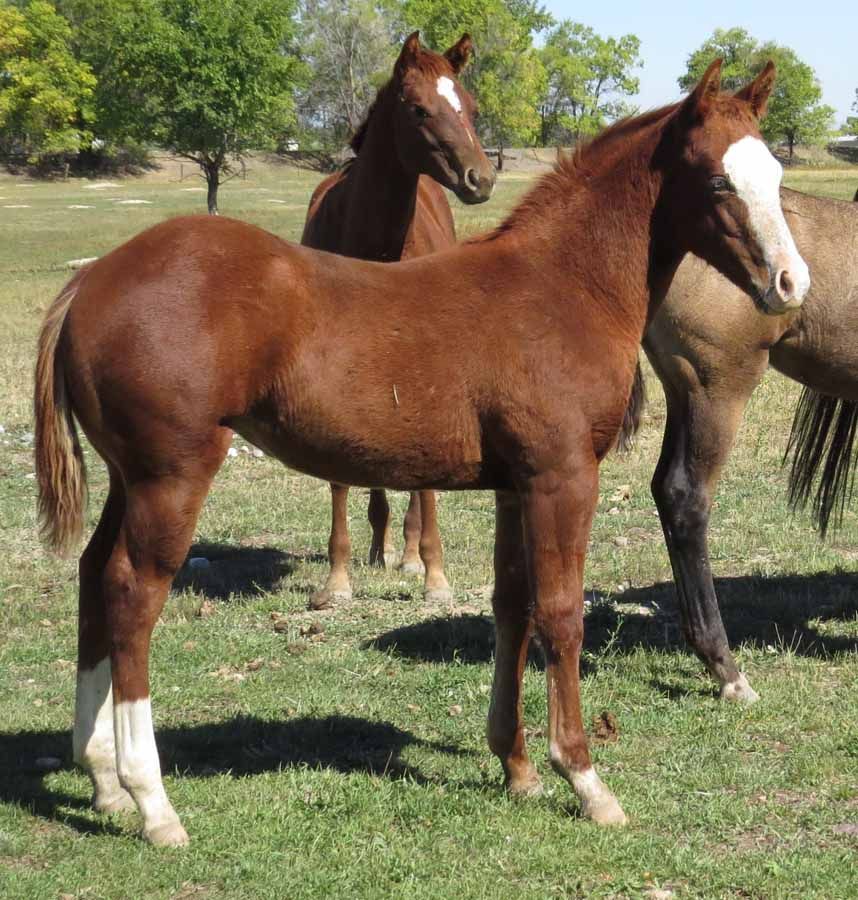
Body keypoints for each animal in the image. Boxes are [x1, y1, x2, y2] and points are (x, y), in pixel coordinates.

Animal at [301, 32, 495, 610]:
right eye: (418, 109)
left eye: (472, 106)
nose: (481, 178)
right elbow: (340, 476)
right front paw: (337, 577)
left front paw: (434, 572)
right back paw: (380, 544)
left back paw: (408, 553)